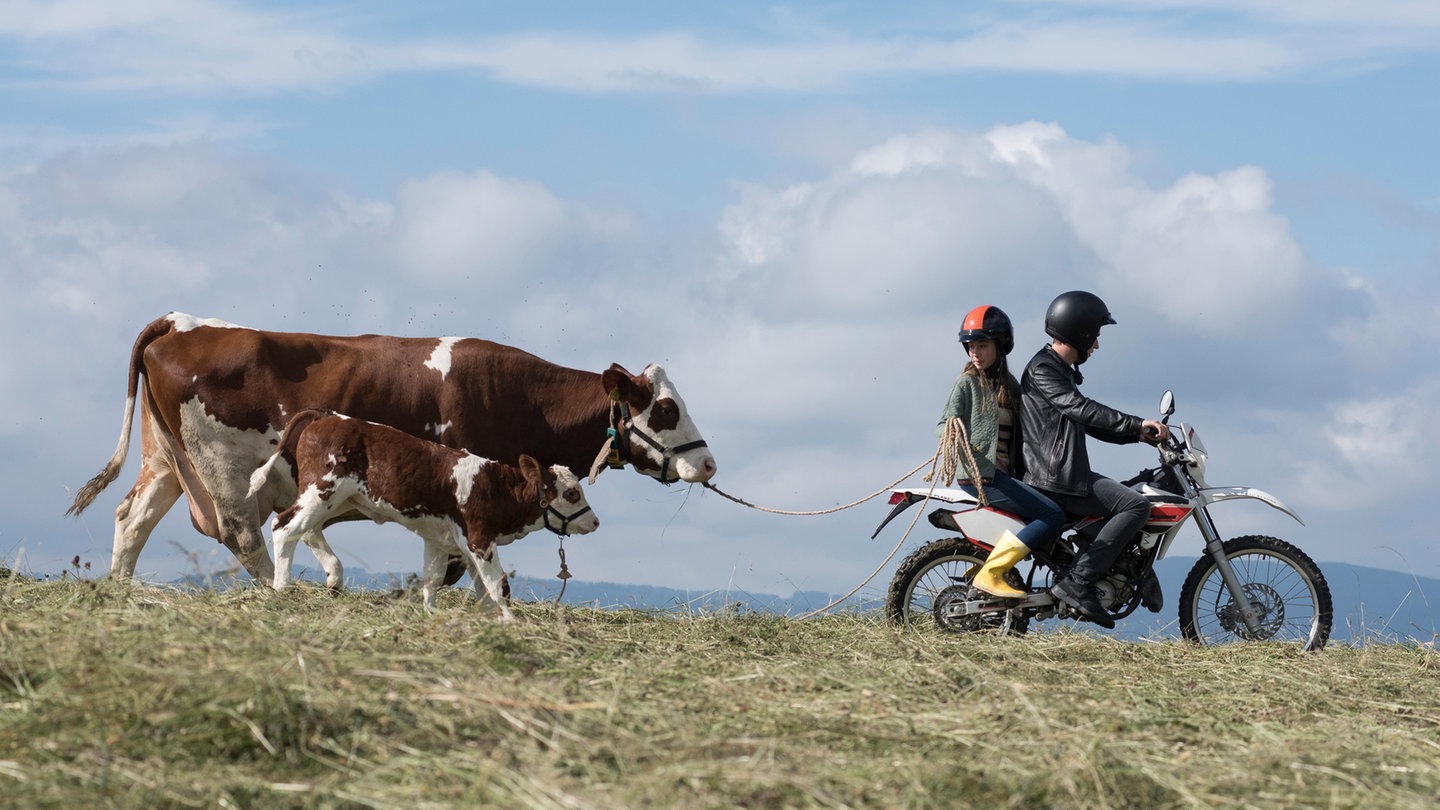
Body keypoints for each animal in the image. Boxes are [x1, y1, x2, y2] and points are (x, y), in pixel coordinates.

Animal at [67, 308, 720, 579]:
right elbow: (457, 564)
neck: (517, 396)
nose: (708, 463)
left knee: (132, 517)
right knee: (244, 535)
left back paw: (120, 590)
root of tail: (183, 323)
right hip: (222, 472)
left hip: (167, 463)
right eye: (666, 408)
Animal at [250, 406, 599, 613]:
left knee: (308, 530)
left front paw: (432, 612)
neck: (495, 485)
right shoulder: (480, 539)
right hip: (323, 492)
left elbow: (434, 578)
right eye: (572, 493)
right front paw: (509, 620)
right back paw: (282, 586)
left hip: (334, 499)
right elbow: (496, 584)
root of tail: (327, 415)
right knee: (284, 526)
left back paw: (333, 576)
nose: (595, 522)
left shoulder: (441, 539)